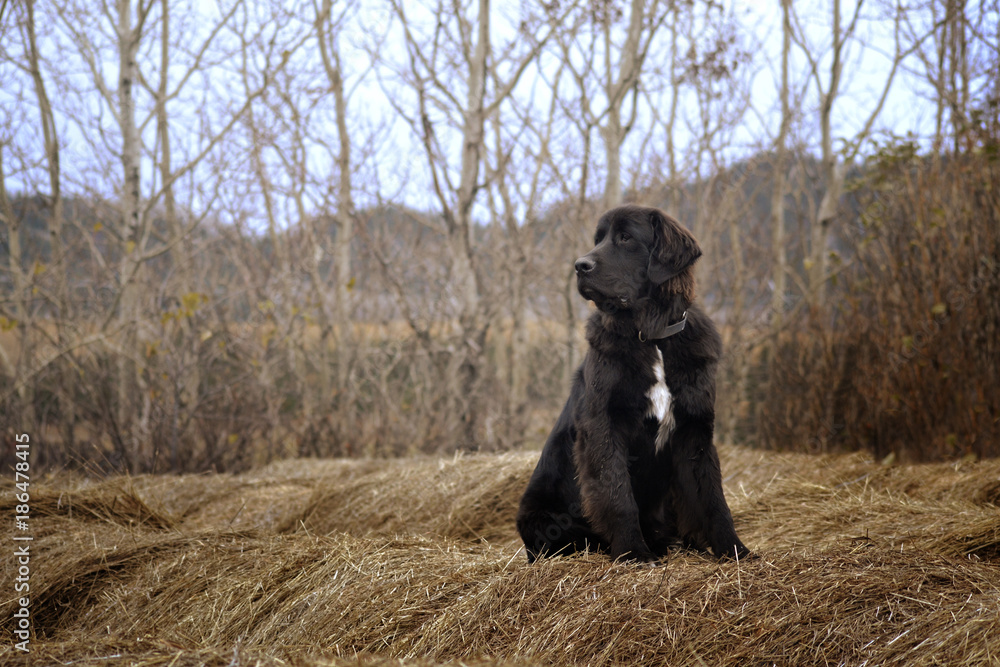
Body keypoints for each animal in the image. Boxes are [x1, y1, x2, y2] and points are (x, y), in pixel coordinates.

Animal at [520, 204, 748, 564]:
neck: (652, 337)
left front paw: (736, 551)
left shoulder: (695, 429)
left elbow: (713, 497)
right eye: (598, 240)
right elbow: (617, 494)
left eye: (625, 238)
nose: (579, 266)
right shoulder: (605, 426)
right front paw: (633, 554)